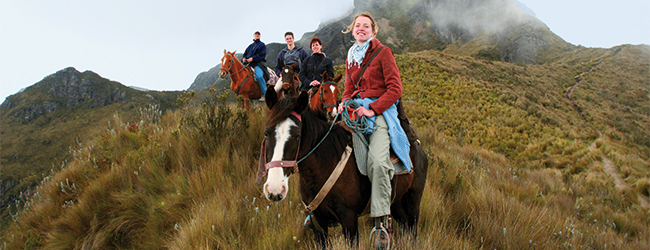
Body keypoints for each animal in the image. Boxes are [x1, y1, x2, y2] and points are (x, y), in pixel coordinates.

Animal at [260, 90, 428, 248]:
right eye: (266, 133)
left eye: (297, 136)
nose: (274, 189)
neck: (323, 168)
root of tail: (417, 147)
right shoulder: (318, 222)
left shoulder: (349, 220)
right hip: (396, 201)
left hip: (414, 199)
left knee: (412, 230)